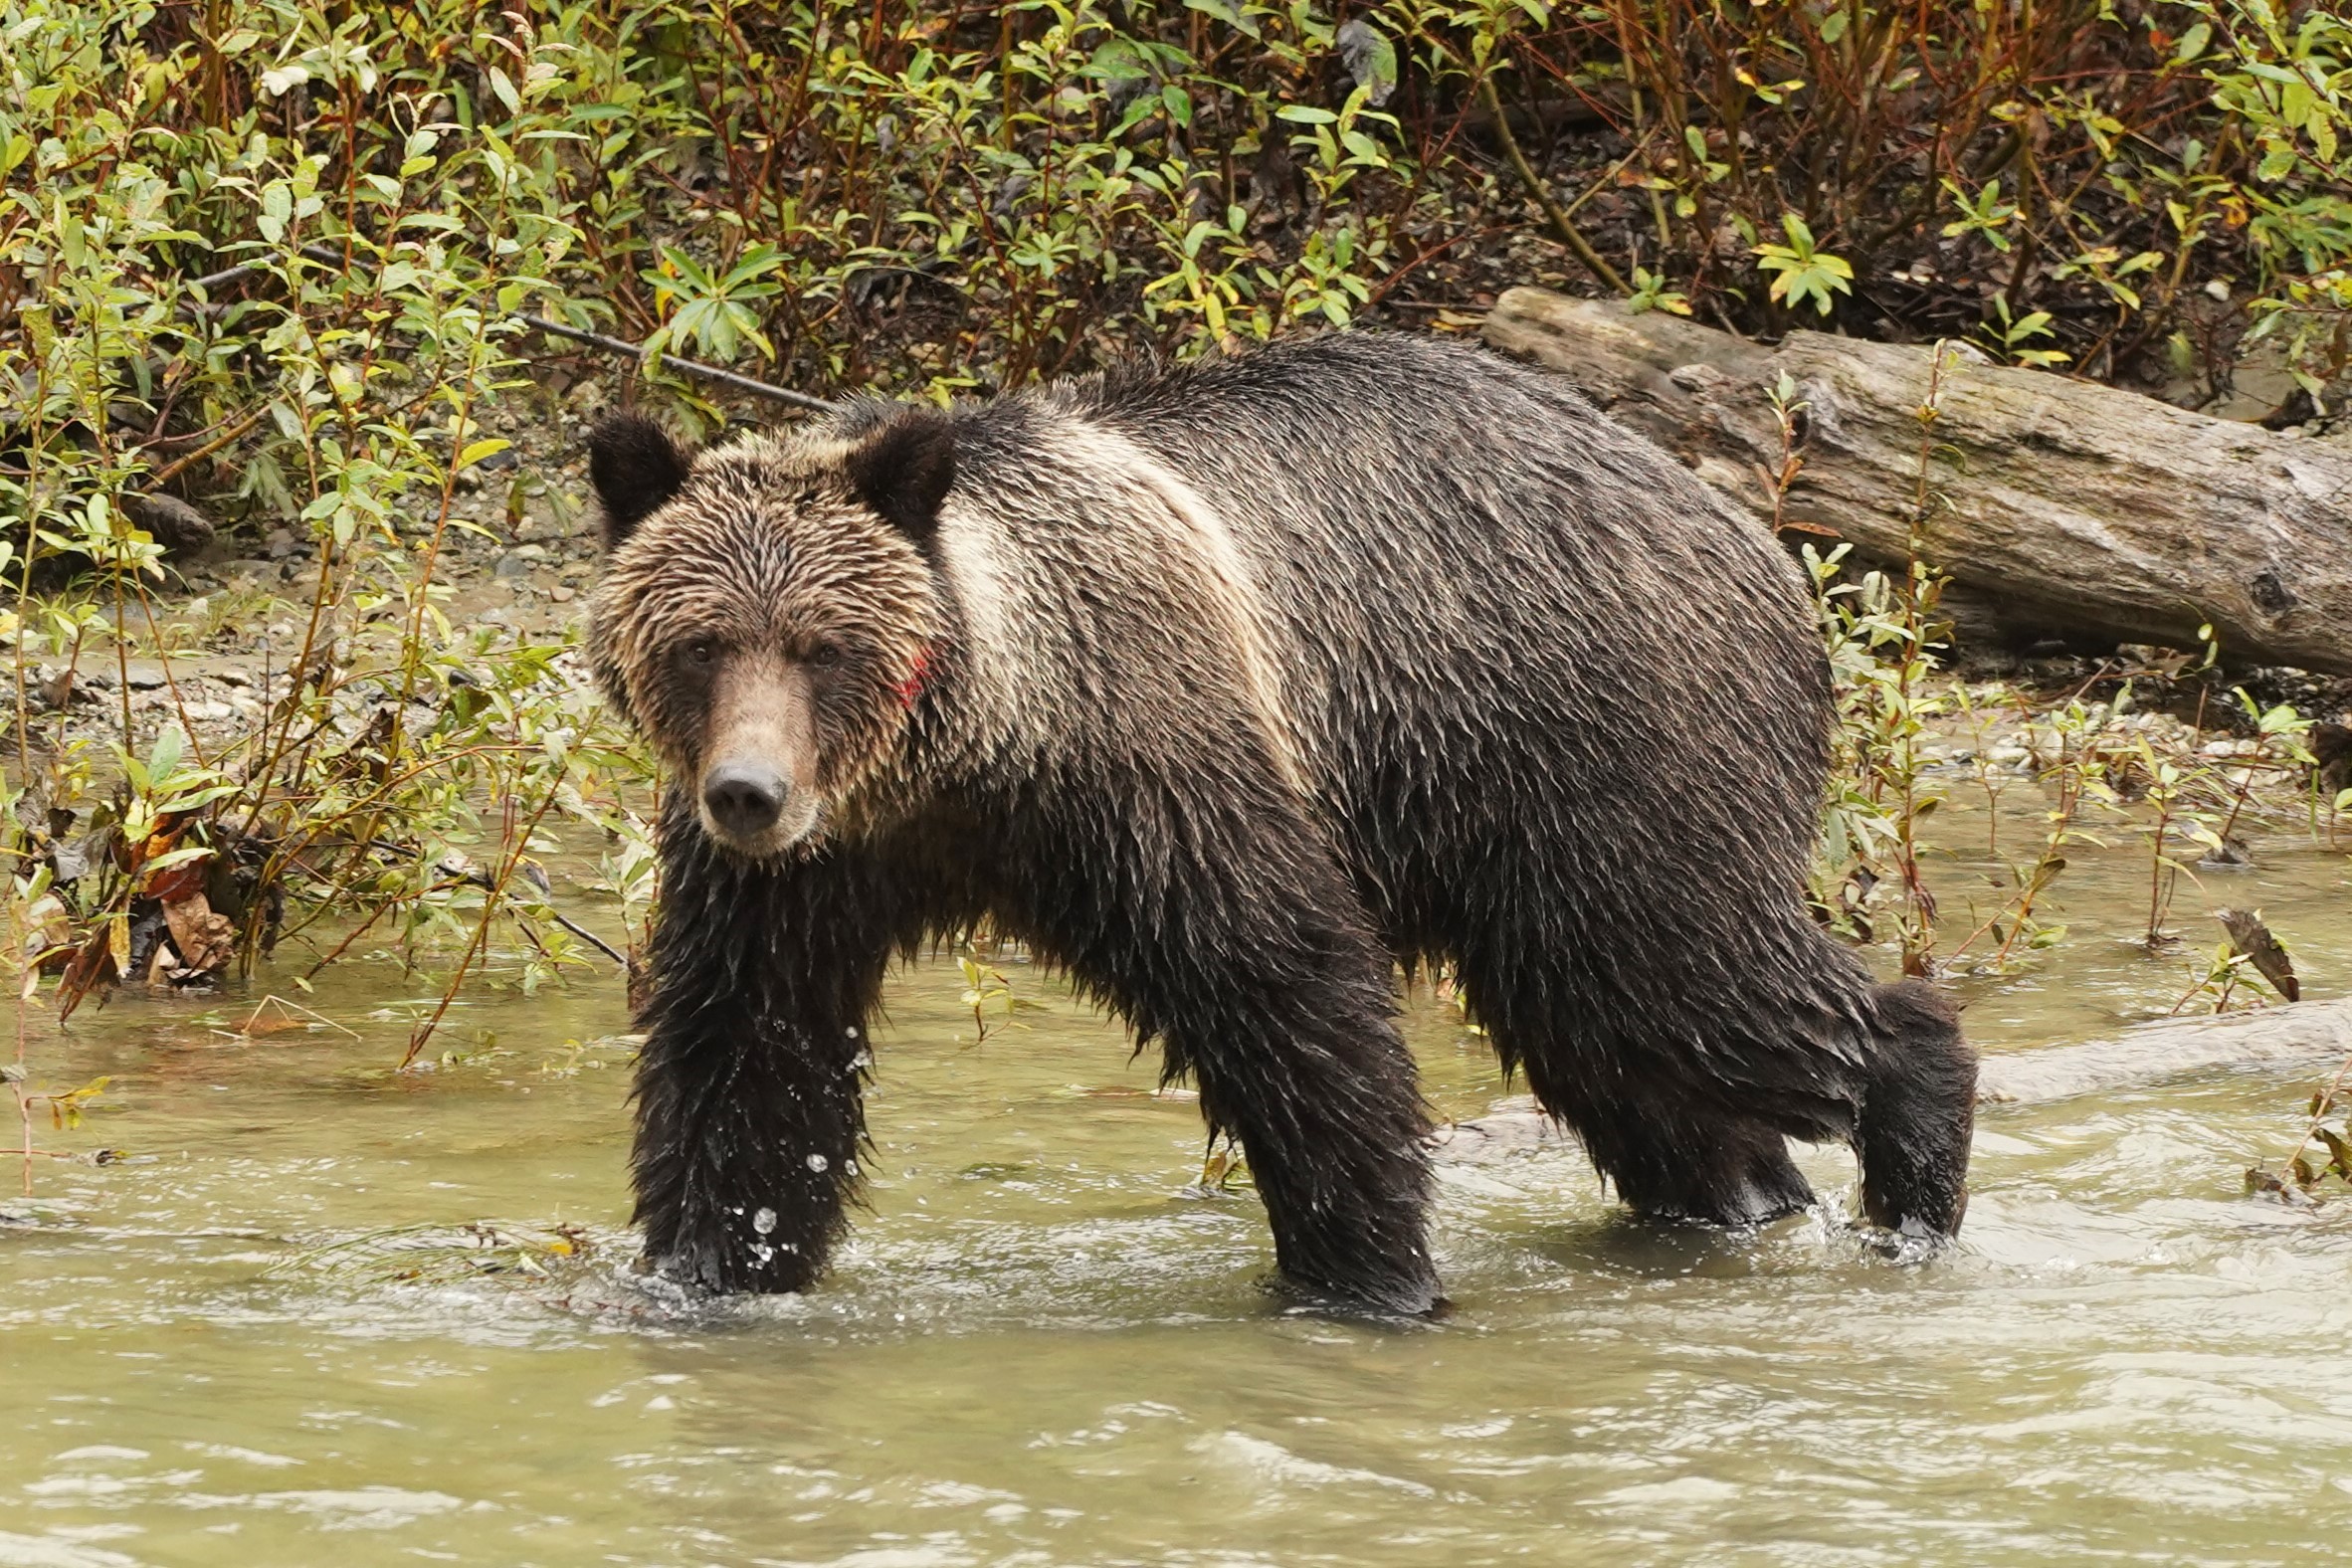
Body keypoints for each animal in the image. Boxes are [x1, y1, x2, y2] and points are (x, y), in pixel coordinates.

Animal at [585, 332, 1976, 1315]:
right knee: (1622, 1050)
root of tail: (1760, 542)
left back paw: (1917, 1164)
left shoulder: (1149, 766)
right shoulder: (809, 878)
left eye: (821, 645)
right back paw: (1744, 1198)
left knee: (1684, 977)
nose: (749, 792)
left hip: (1605, 746)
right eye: (702, 641)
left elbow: (1284, 986)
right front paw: (711, 1267)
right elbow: (747, 1055)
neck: (972, 753)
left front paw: (1369, 1274)